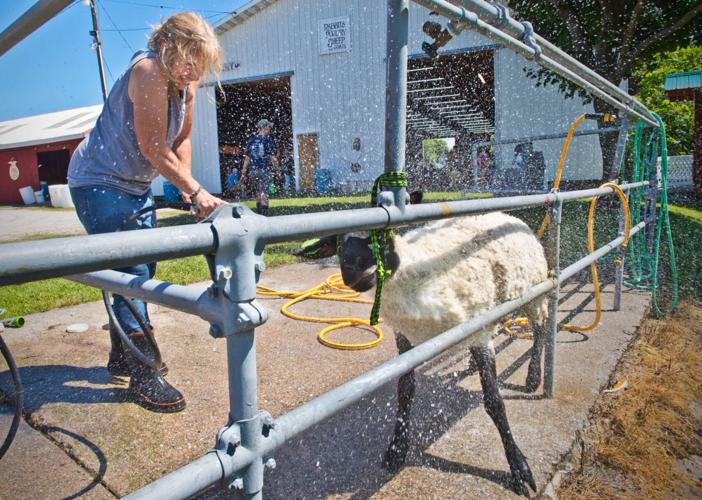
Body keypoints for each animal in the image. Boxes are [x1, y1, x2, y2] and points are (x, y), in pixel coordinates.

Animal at [302, 209, 552, 494]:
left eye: (382, 236)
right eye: (338, 243)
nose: (353, 270)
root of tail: (506, 214)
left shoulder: (479, 332)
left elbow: (494, 402)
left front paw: (518, 467)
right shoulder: (405, 336)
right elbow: (405, 390)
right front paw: (397, 450)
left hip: (534, 294)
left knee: (541, 328)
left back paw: (533, 377)